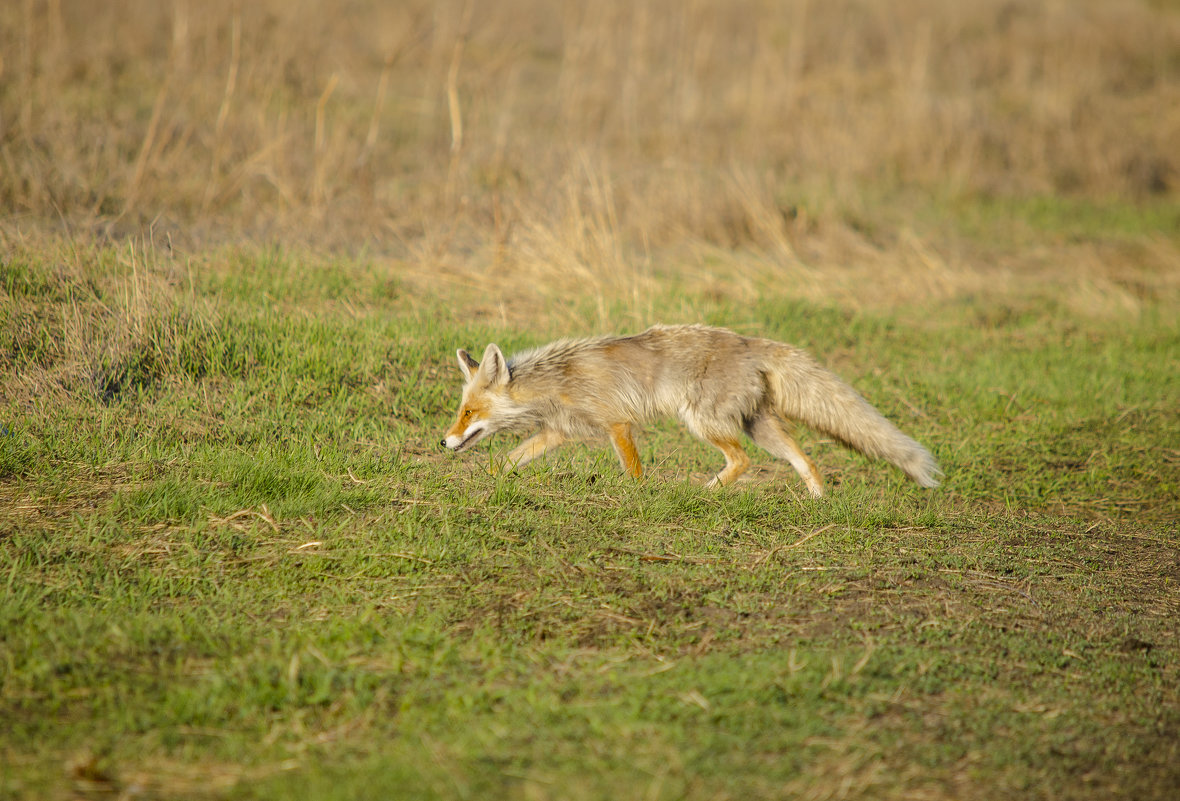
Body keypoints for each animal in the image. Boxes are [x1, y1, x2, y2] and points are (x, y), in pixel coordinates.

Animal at [441, 323, 939, 493]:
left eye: (468, 413)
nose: (443, 441)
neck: (557, 380)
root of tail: (749, 341)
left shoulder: (617, 424)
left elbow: (634, 472)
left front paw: (640, 499)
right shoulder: (557, 432)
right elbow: (505, 462)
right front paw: (482, 481)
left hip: (702, 422)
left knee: (741, 462)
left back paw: (705, 493)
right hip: (759, 427)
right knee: (805, 459)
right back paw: (818, 502)